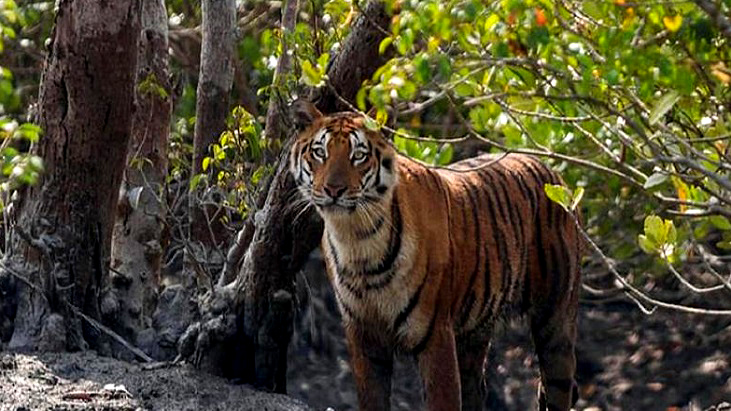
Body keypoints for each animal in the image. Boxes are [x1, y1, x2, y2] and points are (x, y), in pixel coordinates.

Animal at [288, 100, 580, 411]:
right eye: (320, 153)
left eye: (359, 155)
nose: (333, 190)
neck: (357, 239)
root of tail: (553, 172)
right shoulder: (363, 334)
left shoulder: (434, 335)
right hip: (475, 332)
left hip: (555, 322)